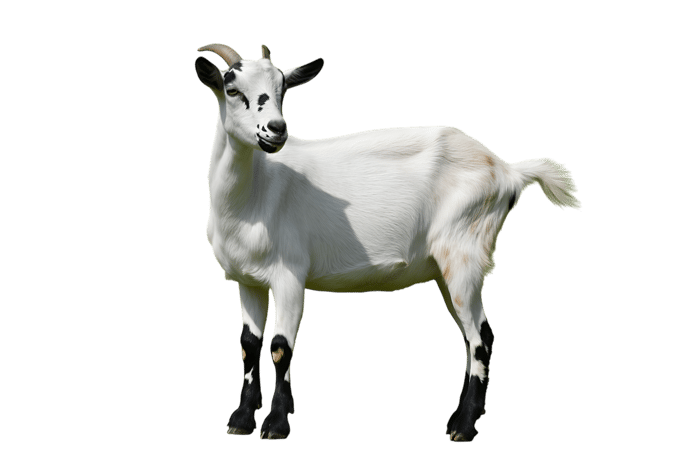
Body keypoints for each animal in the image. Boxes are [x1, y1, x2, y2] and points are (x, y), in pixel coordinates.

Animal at [193, 43, 582, 442]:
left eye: (282, 90)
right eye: (232, 89)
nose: (276, 130)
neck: (252, 197)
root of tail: (507, 170)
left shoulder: (290, 273)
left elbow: (280, 347)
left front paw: (275, 423)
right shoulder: (248, 280)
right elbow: (249, 345)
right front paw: (241, 418)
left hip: (464, 252)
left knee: (481, 338)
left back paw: (463, 426)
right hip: (445, 268)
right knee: (473, 335)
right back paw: (463, 417)